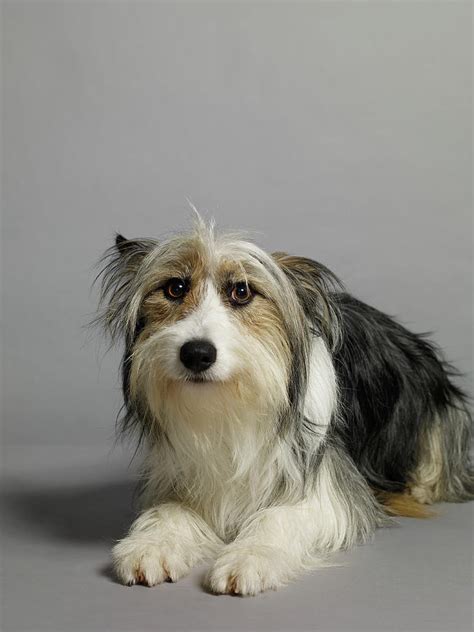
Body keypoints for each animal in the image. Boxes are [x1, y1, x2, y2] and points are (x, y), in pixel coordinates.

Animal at [94, 216, 472, 592]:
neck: (231, 406)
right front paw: (152, 545)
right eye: (175, 288)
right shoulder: (183, 475)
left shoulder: (327, 489)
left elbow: (281, 516)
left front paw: (251, 556)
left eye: (242, 292)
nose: (197, 353)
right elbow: (170, 510)